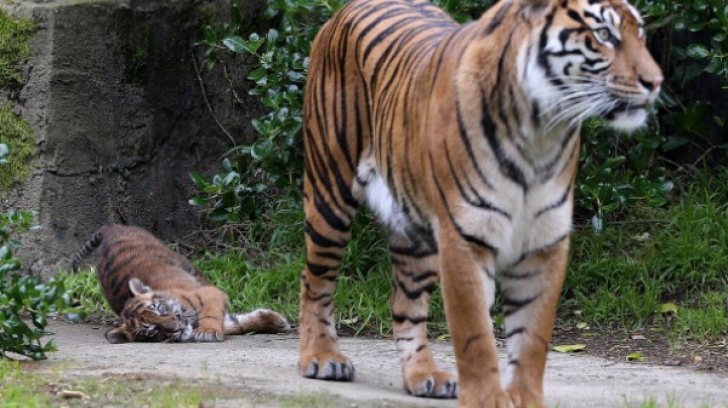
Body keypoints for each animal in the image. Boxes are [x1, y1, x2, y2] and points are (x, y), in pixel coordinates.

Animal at [298, 0, 664, 404]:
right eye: (604, 35)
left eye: (639, 34)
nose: (656, 82)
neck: (540, 134)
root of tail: (341, 13)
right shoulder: (465, 238)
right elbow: (476, 335)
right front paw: (489, 399)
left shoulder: (544, 244)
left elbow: (532, 339)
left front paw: (526, 400)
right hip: (329, 191)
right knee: (314, 279)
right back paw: (321, 357)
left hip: (415, 234)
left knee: (405, 302)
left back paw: (423, 374)